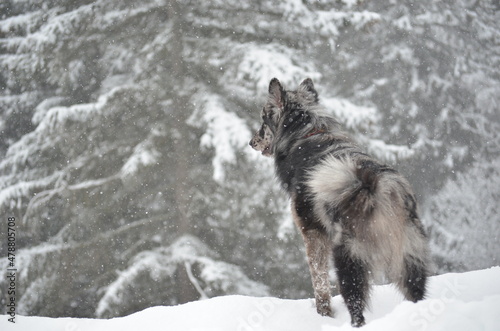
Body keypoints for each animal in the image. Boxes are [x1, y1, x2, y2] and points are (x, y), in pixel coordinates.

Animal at [250, 78, 430, 326]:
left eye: (263, 119)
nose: (251, 142)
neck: (306, 134)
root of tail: (371, 185)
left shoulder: (313, 233)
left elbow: (320, 282)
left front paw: (323, 315)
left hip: (348, 259)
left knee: (356, 308)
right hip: (410, 259)